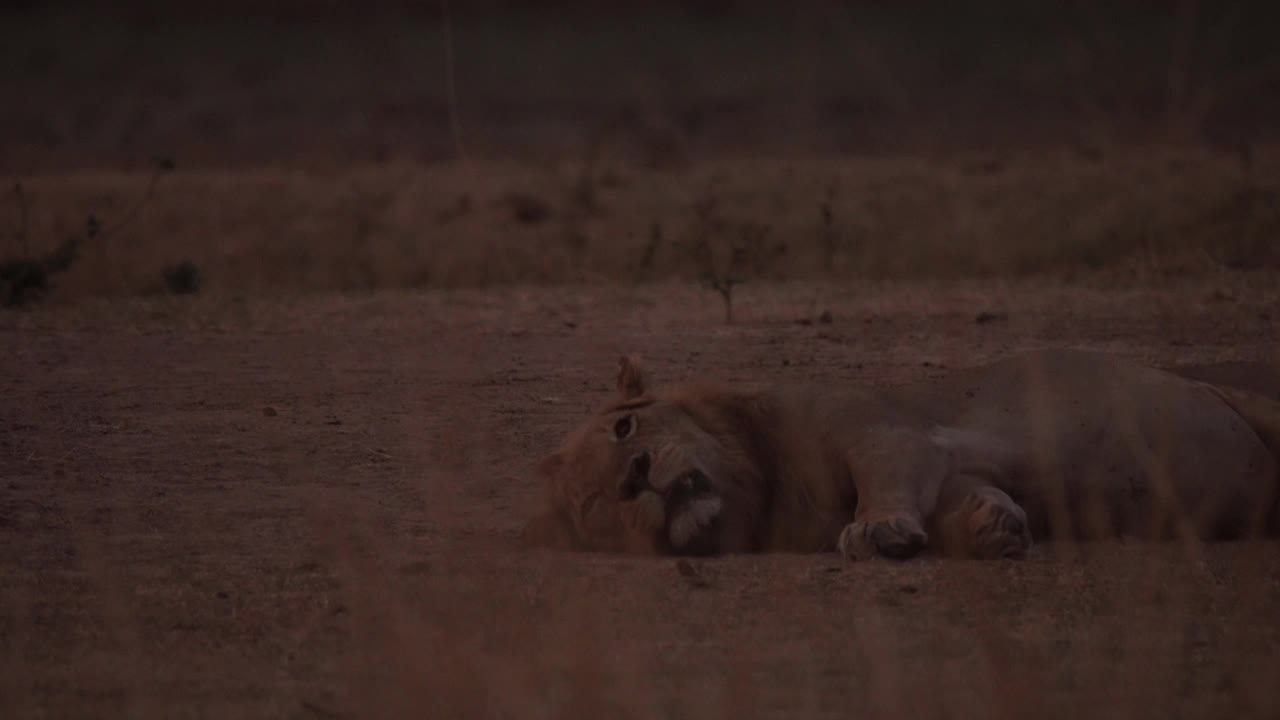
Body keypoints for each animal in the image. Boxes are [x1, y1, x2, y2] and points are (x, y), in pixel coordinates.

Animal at [519, 348, 1280, 561]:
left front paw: (878, 530)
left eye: (625, 431)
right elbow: (966, 507)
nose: (637, 478)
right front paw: (993, 530)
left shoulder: (887, 434)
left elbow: (881, 482)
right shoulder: (952, 472)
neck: (761, 487)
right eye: (595, 504)